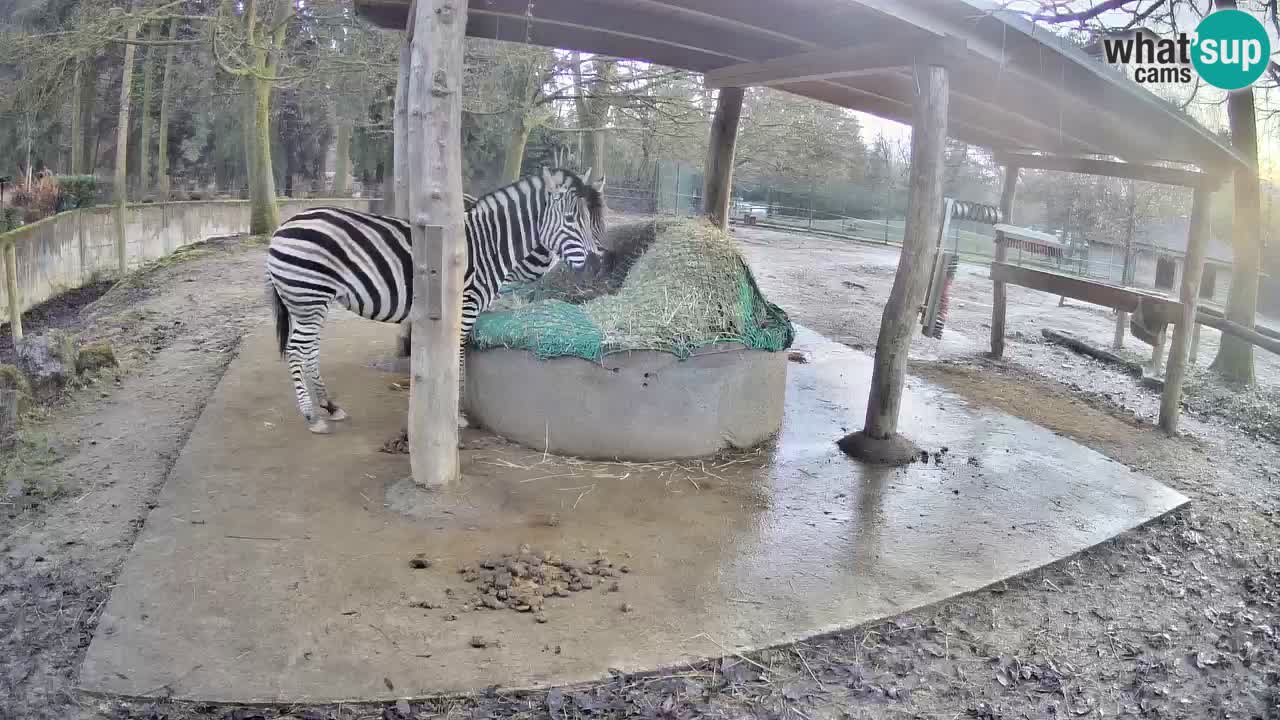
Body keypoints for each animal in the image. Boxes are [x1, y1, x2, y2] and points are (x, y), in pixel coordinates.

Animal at [266, 166, 607, 434]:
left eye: (596, 221)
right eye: (570, 219)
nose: (597, 266)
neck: (488, 245)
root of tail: (283, 226)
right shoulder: (466, 306)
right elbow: (458, 357)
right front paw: (458, 414)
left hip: (309, 302)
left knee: (309, 350)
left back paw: (330, 406)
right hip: (308, 296)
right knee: (296, 351)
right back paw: (312, 416)